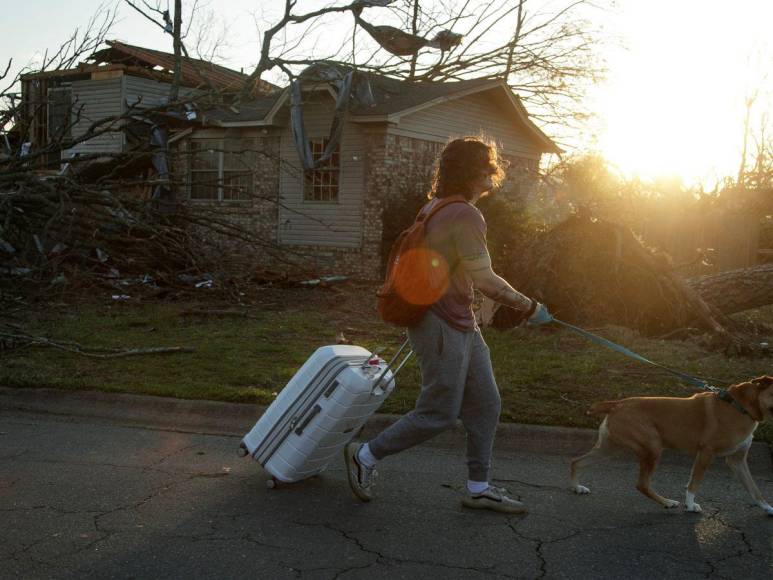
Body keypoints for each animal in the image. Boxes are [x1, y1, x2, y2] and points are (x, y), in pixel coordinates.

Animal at [568, 376, 772, 516]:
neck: (740, 406)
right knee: (642, 484)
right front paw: (690, 505)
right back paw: (667, 502)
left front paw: (768, 507)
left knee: (577, 461)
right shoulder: (706, 453)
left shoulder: (737, 461)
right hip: (652, 448)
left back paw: (577, 487)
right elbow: (694, 483)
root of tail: (618, 403)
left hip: (609, 448)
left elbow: (754, 488)